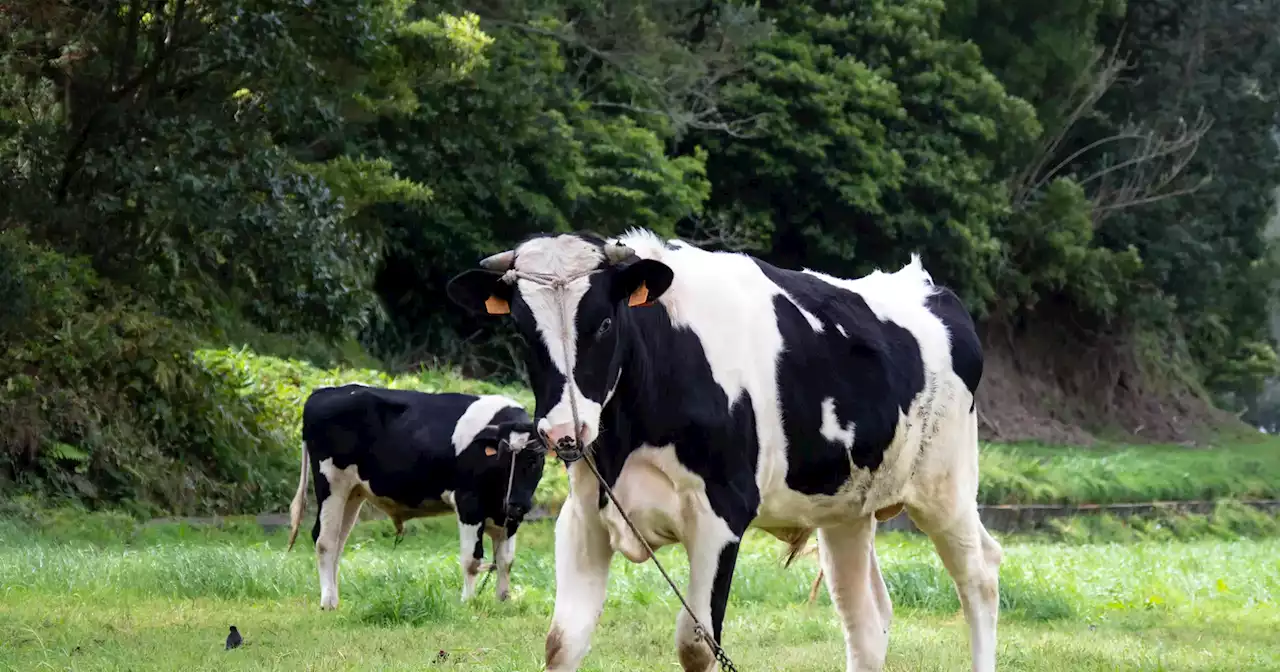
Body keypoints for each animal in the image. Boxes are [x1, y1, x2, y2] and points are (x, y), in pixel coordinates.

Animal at [285, 381, 545, 606]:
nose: (516, 504)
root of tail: (323, 392)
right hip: (331, 483)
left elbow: (505, 560)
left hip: (352, 491)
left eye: (536, 459)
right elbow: (472, 559)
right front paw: (468, 603)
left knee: (338, 541)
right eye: (502, 458)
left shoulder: (509, 517)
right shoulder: (468, 503)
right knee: (324, 540)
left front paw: (503, 601)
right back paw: (328, 602)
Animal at [445, 230, 1003, 670]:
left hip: (946, 489)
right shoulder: (585, 516)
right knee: (866, 618)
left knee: (980, 579)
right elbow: (561, 642)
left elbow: (696, 646)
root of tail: (927, 286)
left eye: (603, 322)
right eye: (524, 330)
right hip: (846, 508)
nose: (564, 430)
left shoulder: (723, 515)